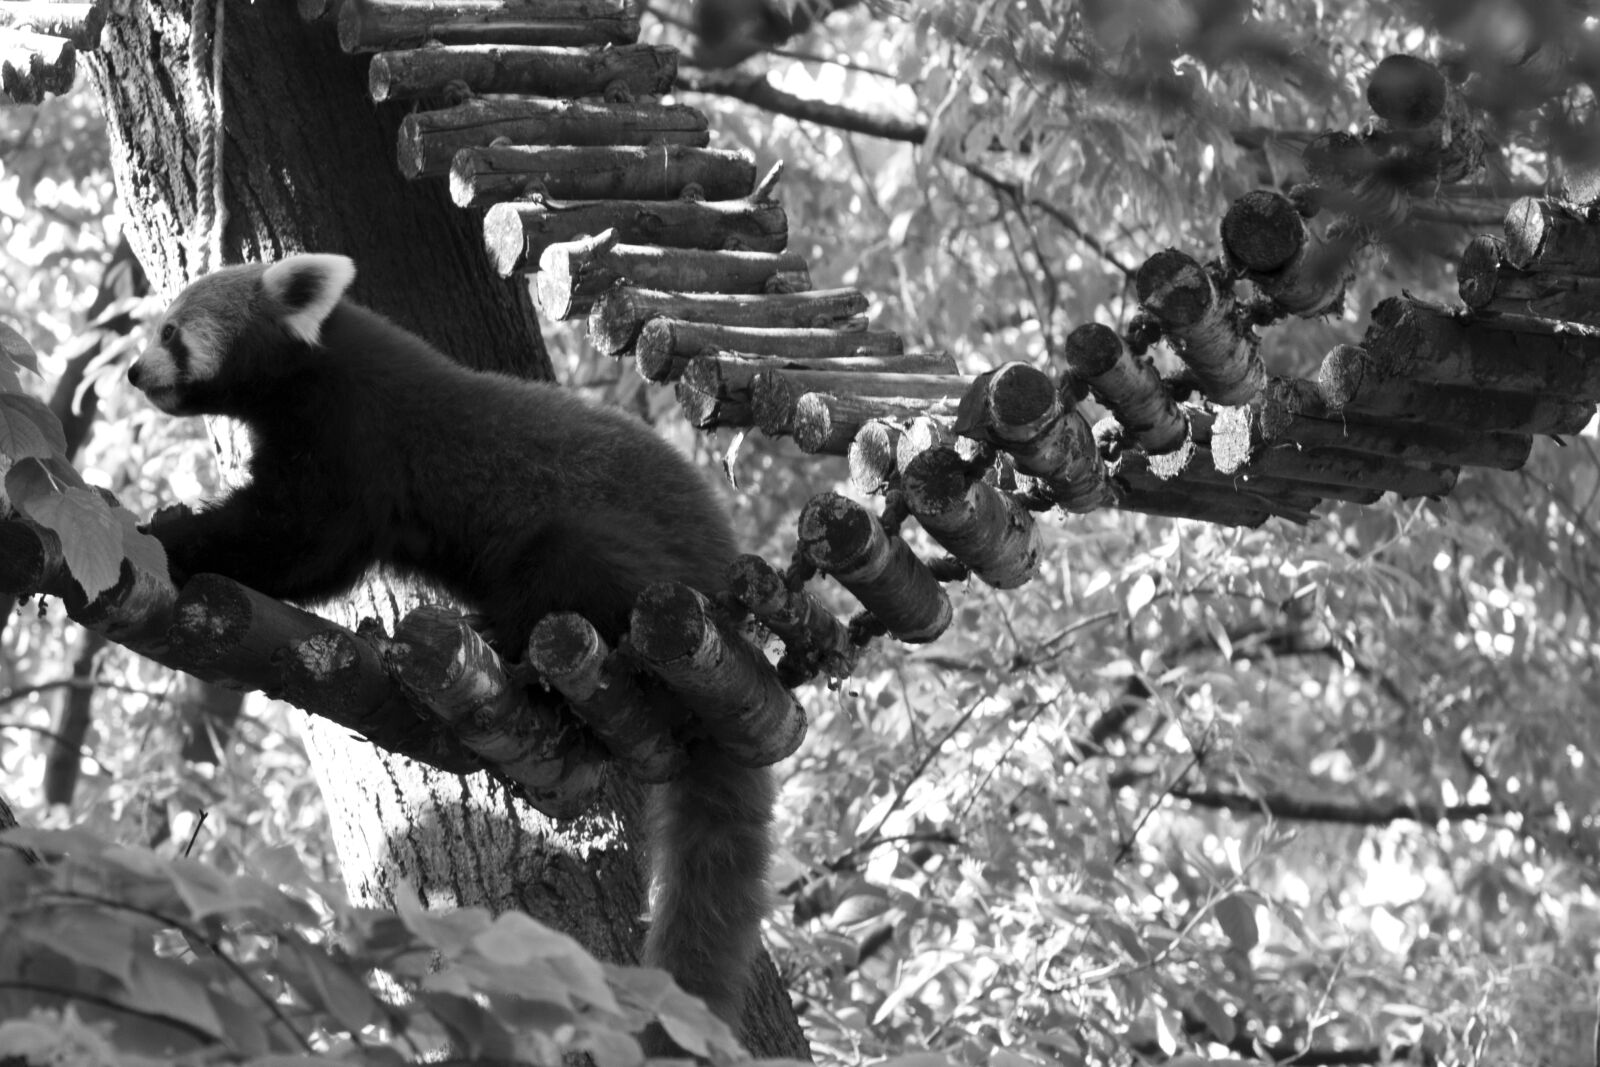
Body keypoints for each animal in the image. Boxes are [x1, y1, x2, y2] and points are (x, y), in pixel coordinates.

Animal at [128, 253, 776, 1037]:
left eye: (170, 331)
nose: (133, 371)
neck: (315, 364)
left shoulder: (356, 434)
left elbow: (302, 536)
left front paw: (171, 532)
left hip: (626, 562)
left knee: (567, 559)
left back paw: (518, 659)